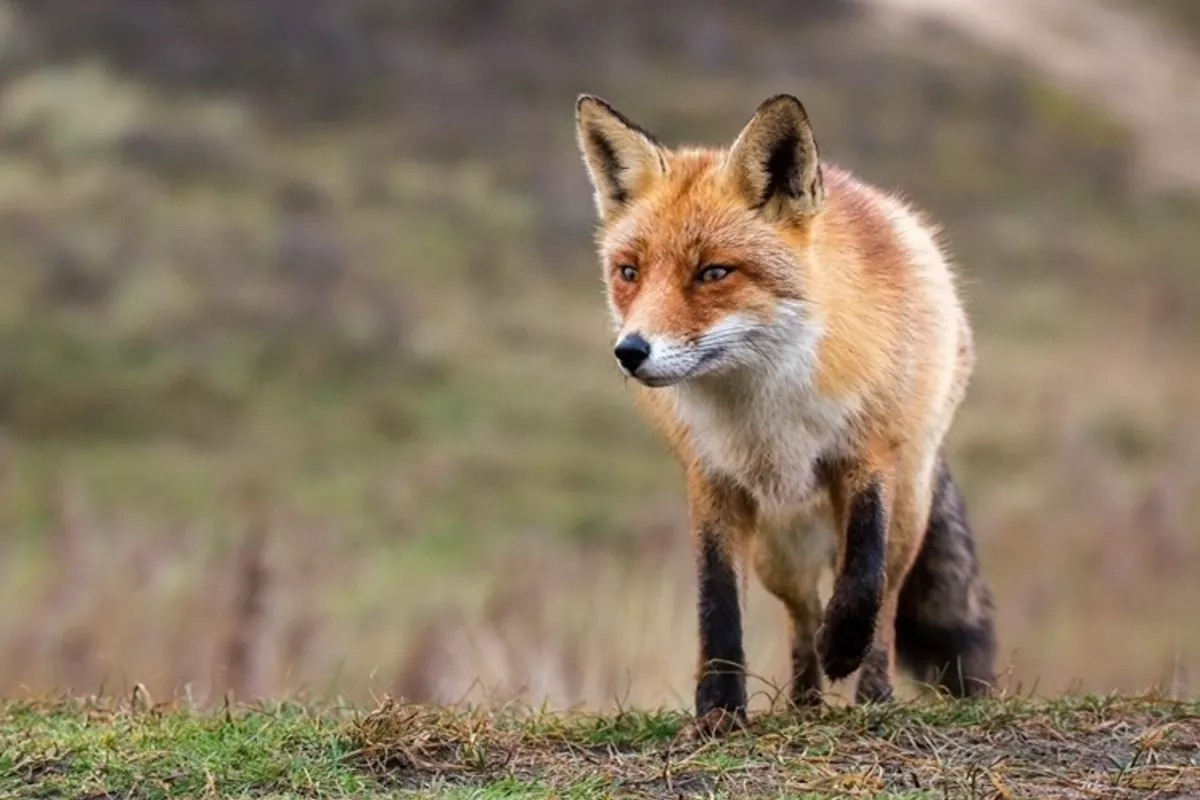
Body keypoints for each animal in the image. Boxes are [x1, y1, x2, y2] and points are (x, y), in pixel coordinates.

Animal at [573, 92, 997, 734]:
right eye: (629, 273)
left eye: (713, 272)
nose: (631, 351)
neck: (765, 412)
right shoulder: (713, 478)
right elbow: (718, 604)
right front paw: (720, 710)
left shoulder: (865, 455)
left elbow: (863, 580)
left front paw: (844, 650)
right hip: (780, 549)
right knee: (803, 613)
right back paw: (805, 702)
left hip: (909, 508)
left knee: (885, 600)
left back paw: (871, 693)